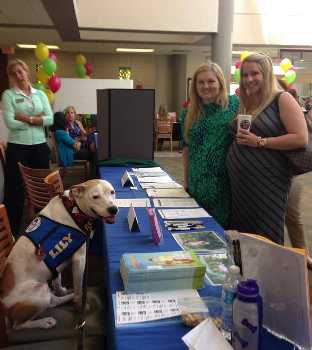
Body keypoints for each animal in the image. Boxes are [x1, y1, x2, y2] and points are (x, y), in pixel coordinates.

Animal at [0, 179, 118, 330]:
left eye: (112, 192)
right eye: (95, 197)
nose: (113, 209)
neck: (73, 208)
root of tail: (3, 307)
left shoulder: (57, 265)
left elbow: (57, 280)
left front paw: (62, 290)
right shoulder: (79, 259)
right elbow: (79, 287)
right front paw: (80, 305)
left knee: (53, 301)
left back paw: (67, 297)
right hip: (39, 292)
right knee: (18, 325)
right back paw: (45, 322)